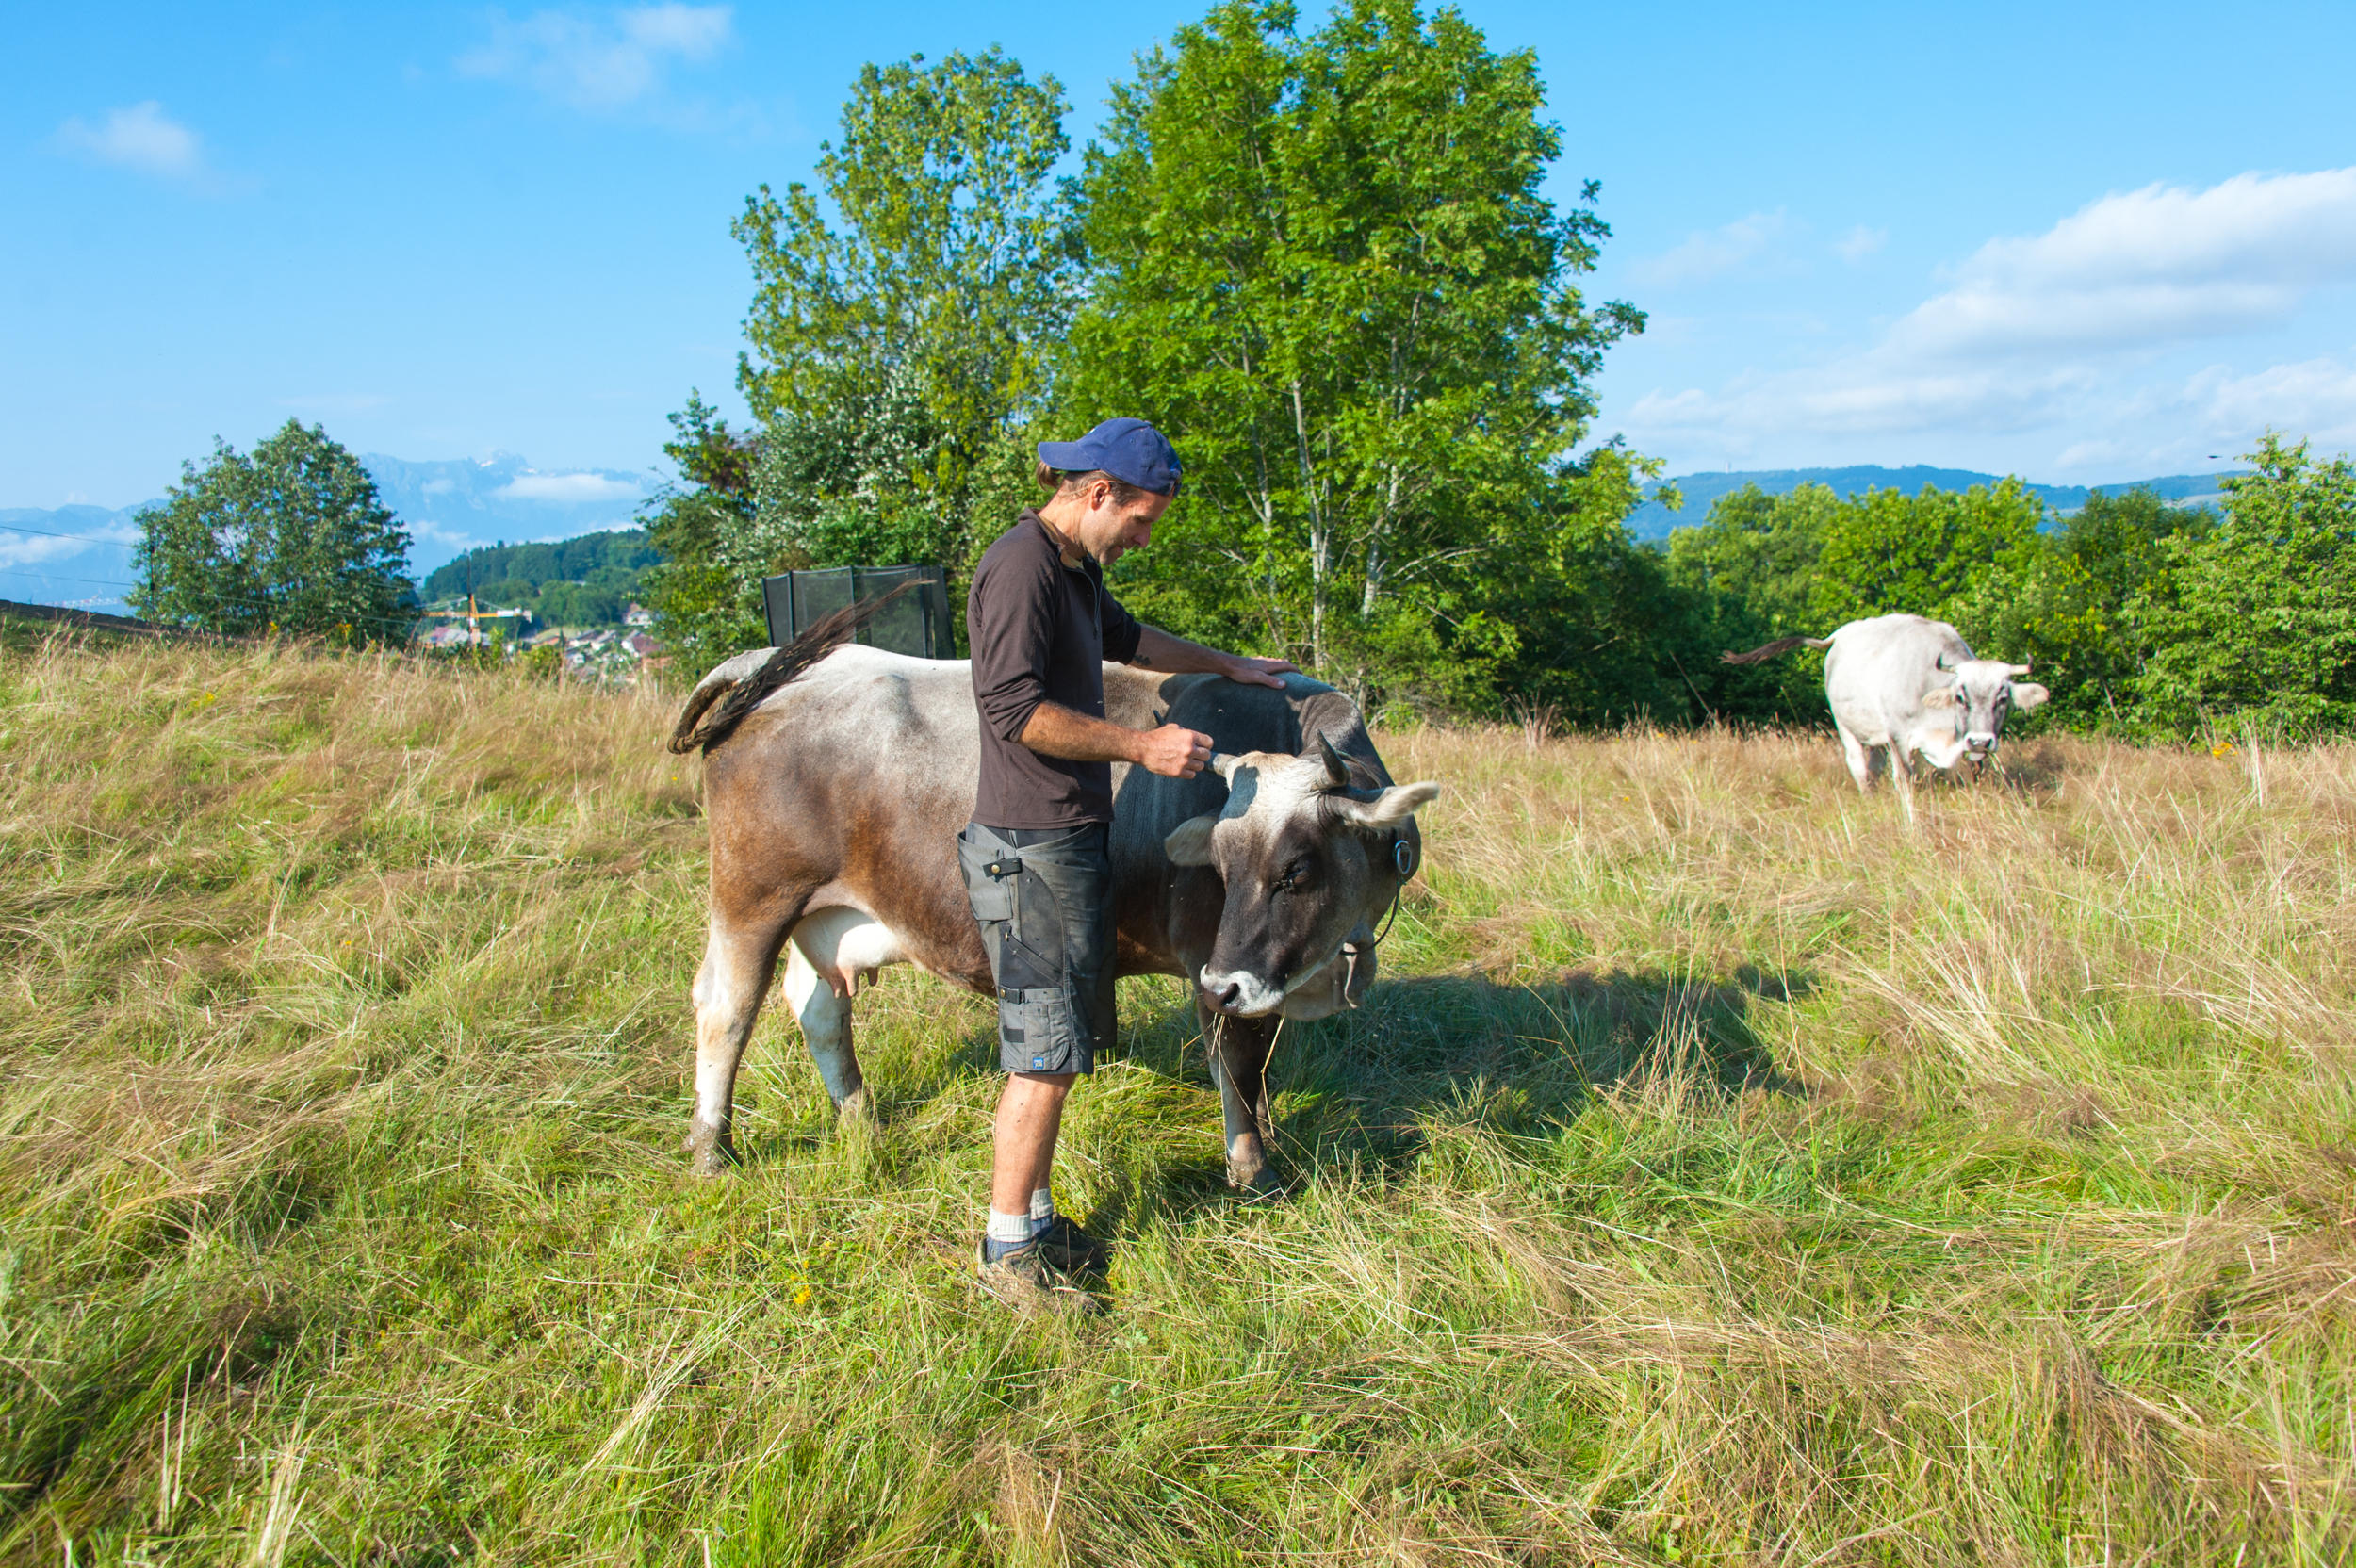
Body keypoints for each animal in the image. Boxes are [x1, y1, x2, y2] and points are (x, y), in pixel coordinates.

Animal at [664, 635, 1432, 1186]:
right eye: (1218, 862)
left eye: (1297, 870)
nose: (1226, 983)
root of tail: (781, 662)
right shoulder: (1215, 964)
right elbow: (1241, 1070)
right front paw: (1254, 1172)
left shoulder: (1257, 975)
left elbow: (1258, 1069)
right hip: (753, 896)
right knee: (726, 1008)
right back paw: (711, 1150)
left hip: (824, 913)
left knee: (817, 1005)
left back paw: (859, 1119)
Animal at [1734, 612, 2045, 819]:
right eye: (1961, 697)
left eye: (2002, 699)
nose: (1980, 741)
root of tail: (1840, 634)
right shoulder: (1899, 736)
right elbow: (1905, 779)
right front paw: (1912, 822)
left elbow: (1971, 772)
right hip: (1845, 724)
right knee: (1859, 766)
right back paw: (1868, 800)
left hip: (1877, 735)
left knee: (1874, 767)